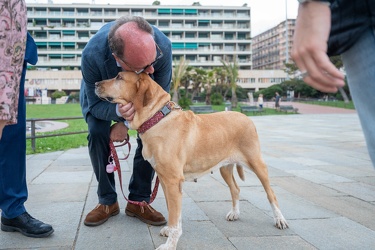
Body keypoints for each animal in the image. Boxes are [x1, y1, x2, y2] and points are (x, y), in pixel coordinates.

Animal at [95, 72, 290, 250]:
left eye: (119, 77)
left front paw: (170, 244)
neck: (156, 118)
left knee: (271, 193)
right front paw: (171, 231)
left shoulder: (172, 181)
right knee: (235, 189)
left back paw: (279, 219)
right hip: (225, 167)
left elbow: (175, 215)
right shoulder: (165, 180)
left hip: (256, 163)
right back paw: (235, 213)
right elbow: (174, 212)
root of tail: (247, 118)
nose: (95, 83)